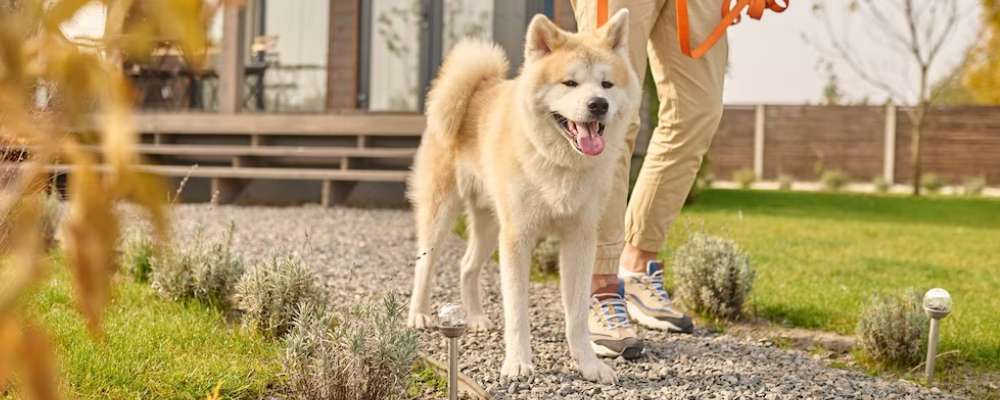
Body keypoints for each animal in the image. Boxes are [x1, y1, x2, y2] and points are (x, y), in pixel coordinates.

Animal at [408, 10, 636, 384]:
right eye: (569, 83)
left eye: (606, 85)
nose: (598, 105)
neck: (561, 163)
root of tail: (478, 87)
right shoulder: (518, 238)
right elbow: (517, 312)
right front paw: (517, 362)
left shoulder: (580, 239)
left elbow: (576, 315)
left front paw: (588, 364)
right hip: (441, 214)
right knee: (424, 266)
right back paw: (418, 314)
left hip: (489, 225)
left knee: (466, 266)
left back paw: (475, 317)